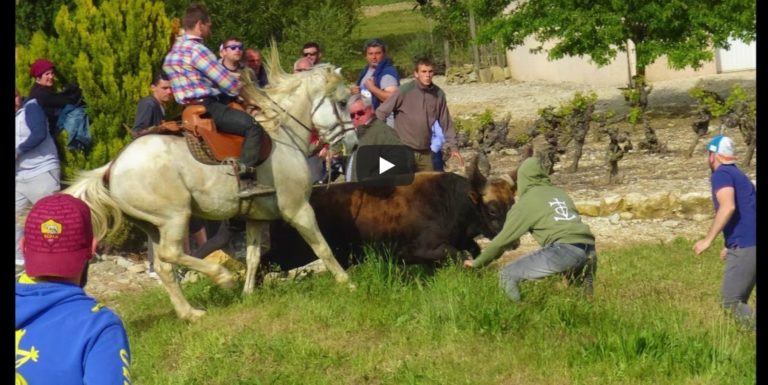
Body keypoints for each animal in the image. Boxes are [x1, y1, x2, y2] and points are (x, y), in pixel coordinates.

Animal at [66, 54, 354, 318]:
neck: (282, 134)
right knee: (172, 254)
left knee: (164, 267)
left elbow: (253, 256)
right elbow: (322, 247)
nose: (351, 141)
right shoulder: (298, 209)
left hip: (153, 225)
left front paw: (248, 294)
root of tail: (111, 167)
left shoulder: (256, 218)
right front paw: (347, 283)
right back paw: (221, 277)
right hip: (175, 217)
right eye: (342, 102)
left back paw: (190, 313)